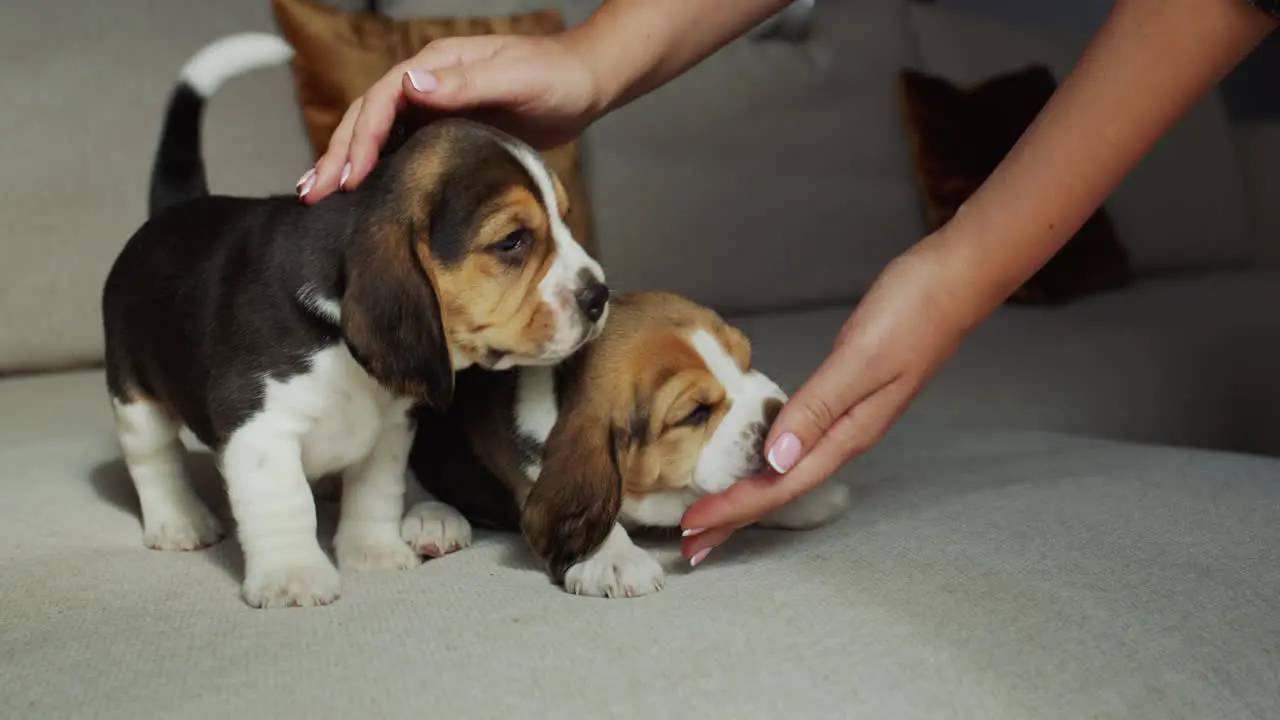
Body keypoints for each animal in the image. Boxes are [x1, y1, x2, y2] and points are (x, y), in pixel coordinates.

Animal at [99, 32, 609, 604]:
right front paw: (293, 573)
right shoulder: (259, 426)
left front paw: (372, 551)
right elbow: (283, 505)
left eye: (565, 219)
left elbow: (375, 492)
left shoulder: (391, 426)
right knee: (154, 460)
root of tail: (173, 210)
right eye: (512, 242)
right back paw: (180, 522)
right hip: (134, 396)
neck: (337, 342)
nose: (599, 296)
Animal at [407, 288, 849, 597]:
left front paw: (804, 498)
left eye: (746, 361)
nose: (778, 414)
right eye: (696, 412)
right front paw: (614, 559)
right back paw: (434, 520)